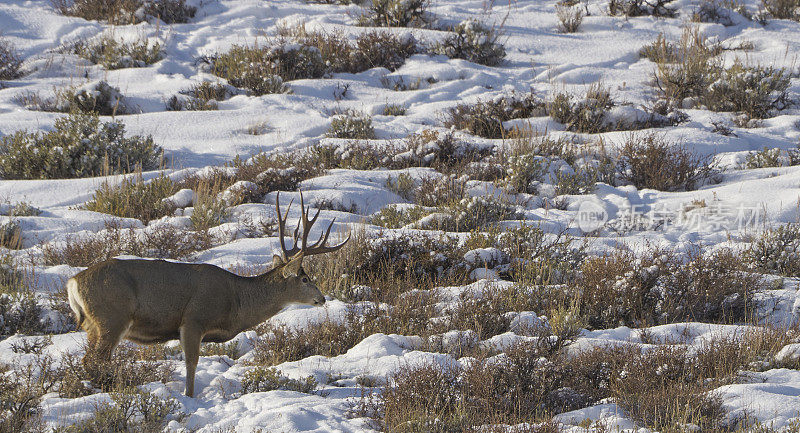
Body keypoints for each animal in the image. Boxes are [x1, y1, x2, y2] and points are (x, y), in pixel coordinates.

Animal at [65, 191, 346, 396]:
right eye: (305, 278)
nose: (322, 298)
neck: (236, 301)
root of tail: (72, 282)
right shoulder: (193, 319)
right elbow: (192, 363)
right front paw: (189, 397)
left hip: (92, 324)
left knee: (88, 359)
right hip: (112, 317)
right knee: (95, 359)